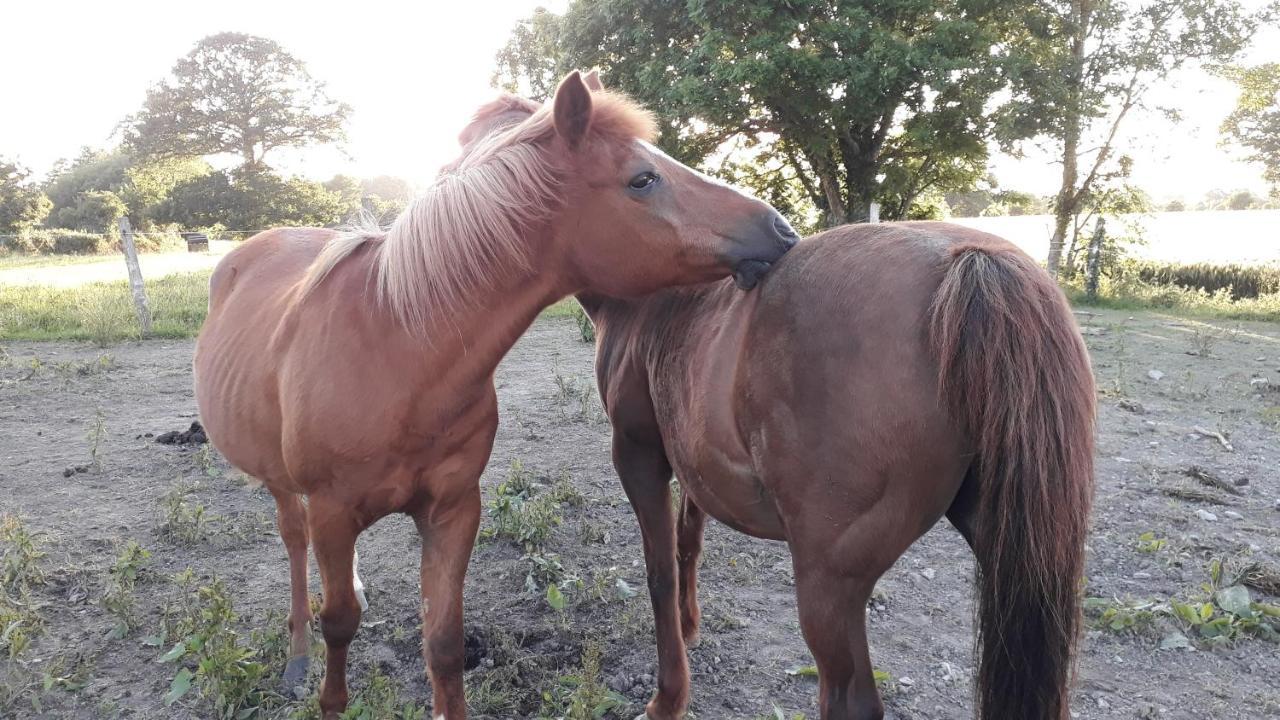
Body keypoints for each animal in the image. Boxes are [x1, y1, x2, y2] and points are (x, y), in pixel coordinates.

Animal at [193, 68, 793, 717]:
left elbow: (444, 643)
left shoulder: (454, 510)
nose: (782, 229)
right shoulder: (333, 512)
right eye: (643, 178)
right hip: (280, 483)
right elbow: (340, 626)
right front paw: (328, 691)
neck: (396, 349)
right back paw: (298, 656)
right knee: (294, 541)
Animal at [586, 221, 1095, 712]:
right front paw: (690, 625)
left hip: (829, 589)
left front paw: (668, 698)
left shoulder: (638, 455)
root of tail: (971, 262)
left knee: (851, 700)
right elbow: (687, 542)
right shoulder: (692, 463)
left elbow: (660, 572)